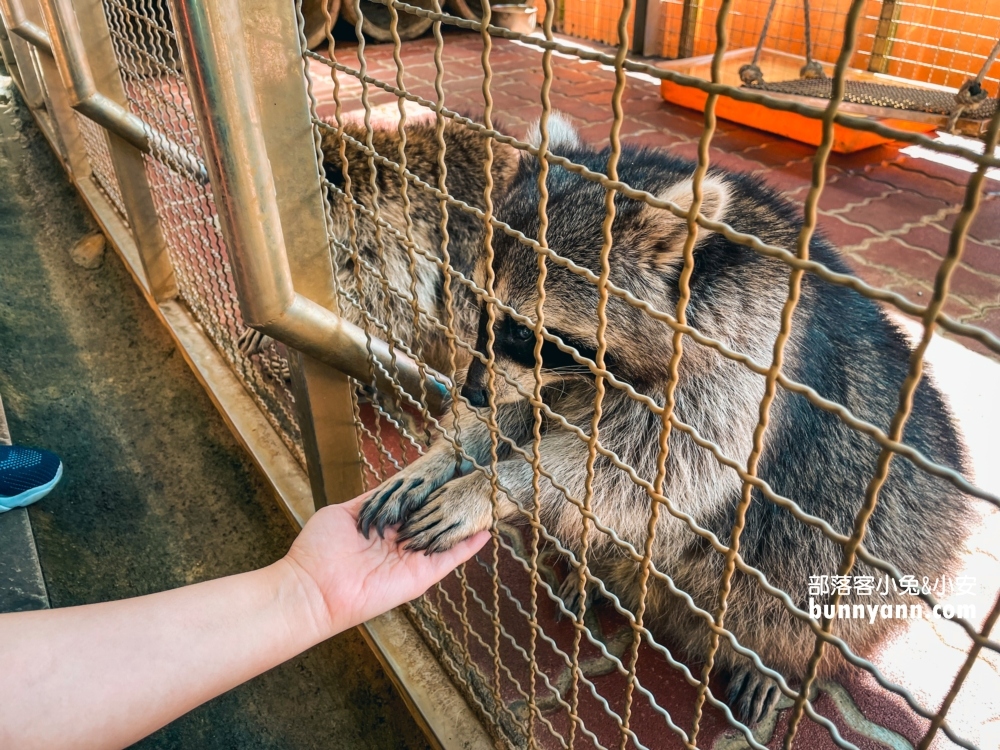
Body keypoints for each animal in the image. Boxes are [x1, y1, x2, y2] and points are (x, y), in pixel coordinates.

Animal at [356, 120, 972, 724]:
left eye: (526, 332)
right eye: (482, 308)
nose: (473, 393)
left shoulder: (741, 366)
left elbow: (658, 472)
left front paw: (496, 482)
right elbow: (532, 412)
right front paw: (451, 453)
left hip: (891, 530)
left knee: (809, 585)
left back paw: (776, 661)